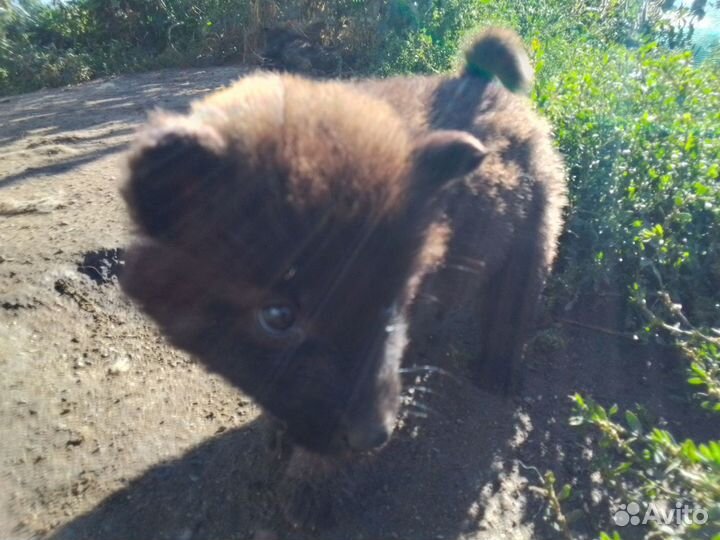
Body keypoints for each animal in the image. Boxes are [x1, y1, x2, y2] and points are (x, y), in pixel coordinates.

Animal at [121, 26, 564, 528]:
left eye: (392, 298)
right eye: (278, 316)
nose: (377, 435)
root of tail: (480, 83)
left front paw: (310, 488)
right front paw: (280, 432)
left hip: (534, 237)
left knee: (513, 308)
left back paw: (498, 371)